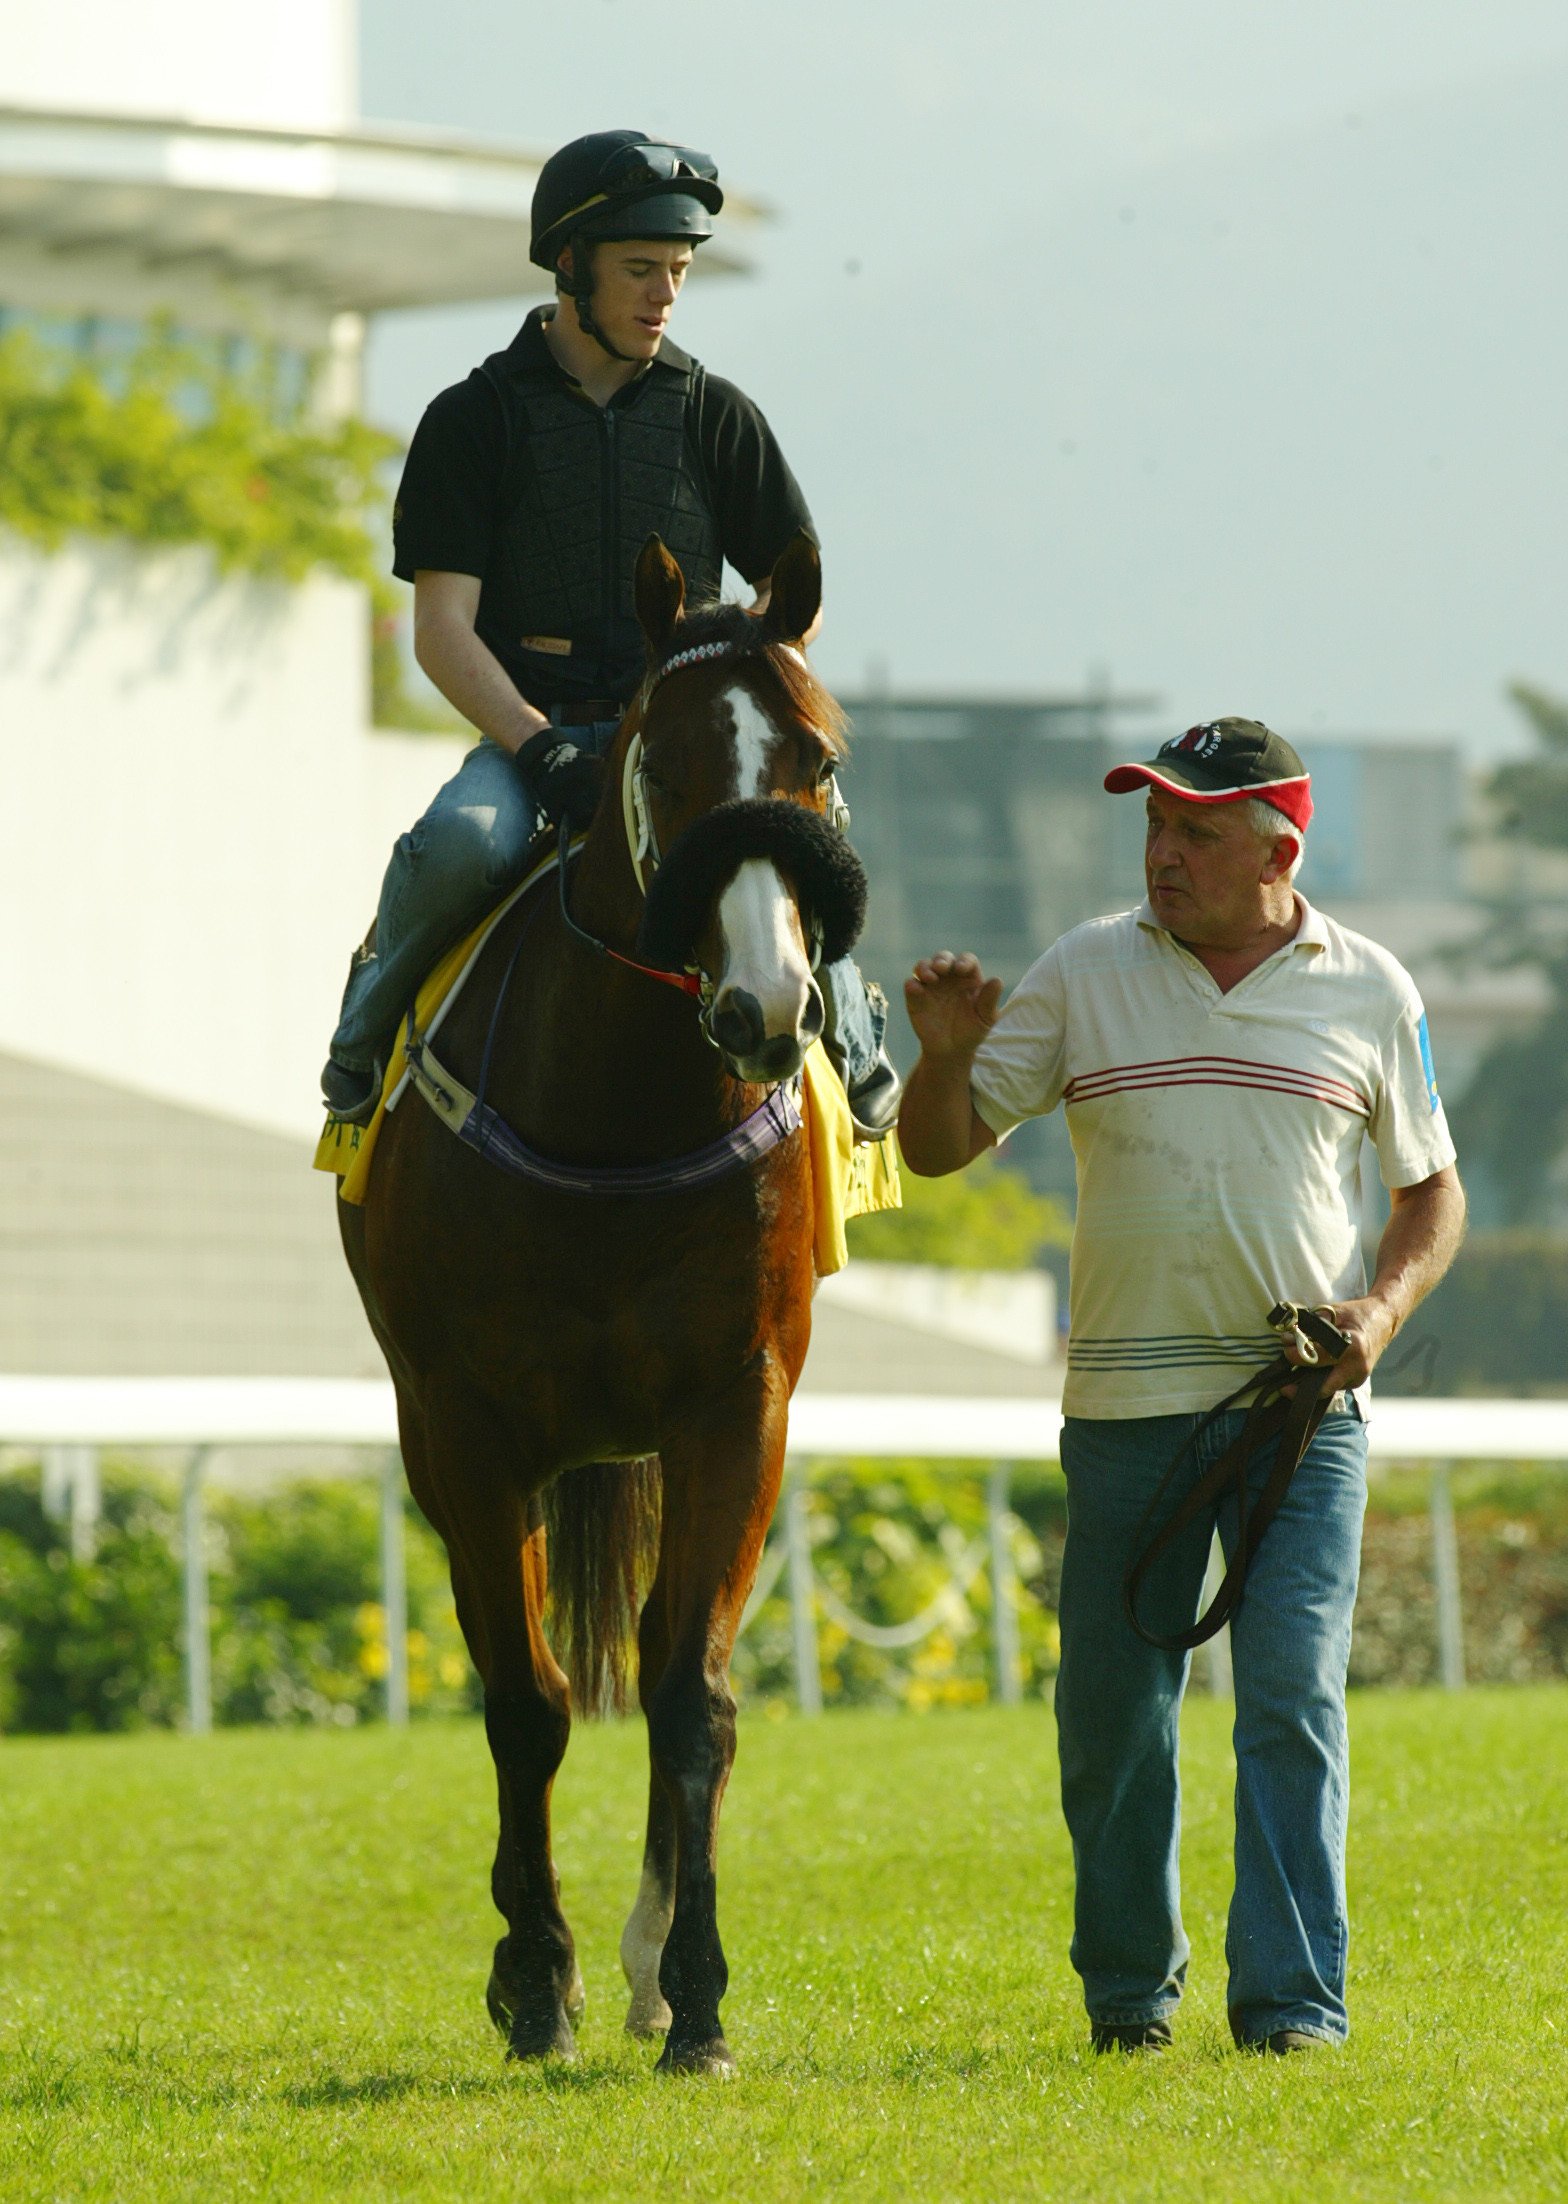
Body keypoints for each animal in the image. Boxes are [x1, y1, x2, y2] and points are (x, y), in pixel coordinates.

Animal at [335, 524, 864, 2071]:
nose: (765, 1005)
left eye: (814, 758)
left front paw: (694, 1991)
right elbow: (526, 1705)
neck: (618, 1120)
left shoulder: (735, 1409)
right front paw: (534, 1978)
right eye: (661, 765)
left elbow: (691, 1698)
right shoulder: (462, 1427)